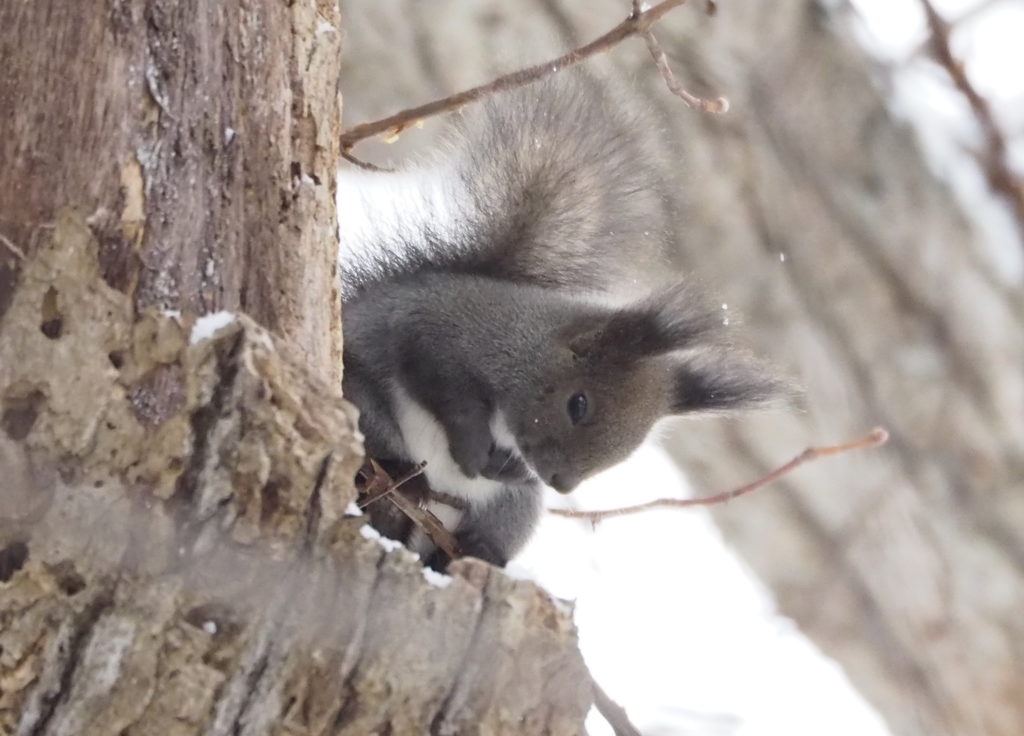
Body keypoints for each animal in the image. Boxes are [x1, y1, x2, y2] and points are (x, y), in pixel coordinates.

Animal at [335, 76, 782, 569]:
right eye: (578, 404)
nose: (561, 484)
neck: (530, 344)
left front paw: (504, 467)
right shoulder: (434, 331)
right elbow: (445, 391)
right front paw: (472, 449)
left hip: (513, 510)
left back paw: (475, 551)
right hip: (362, 404)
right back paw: (403, 482)